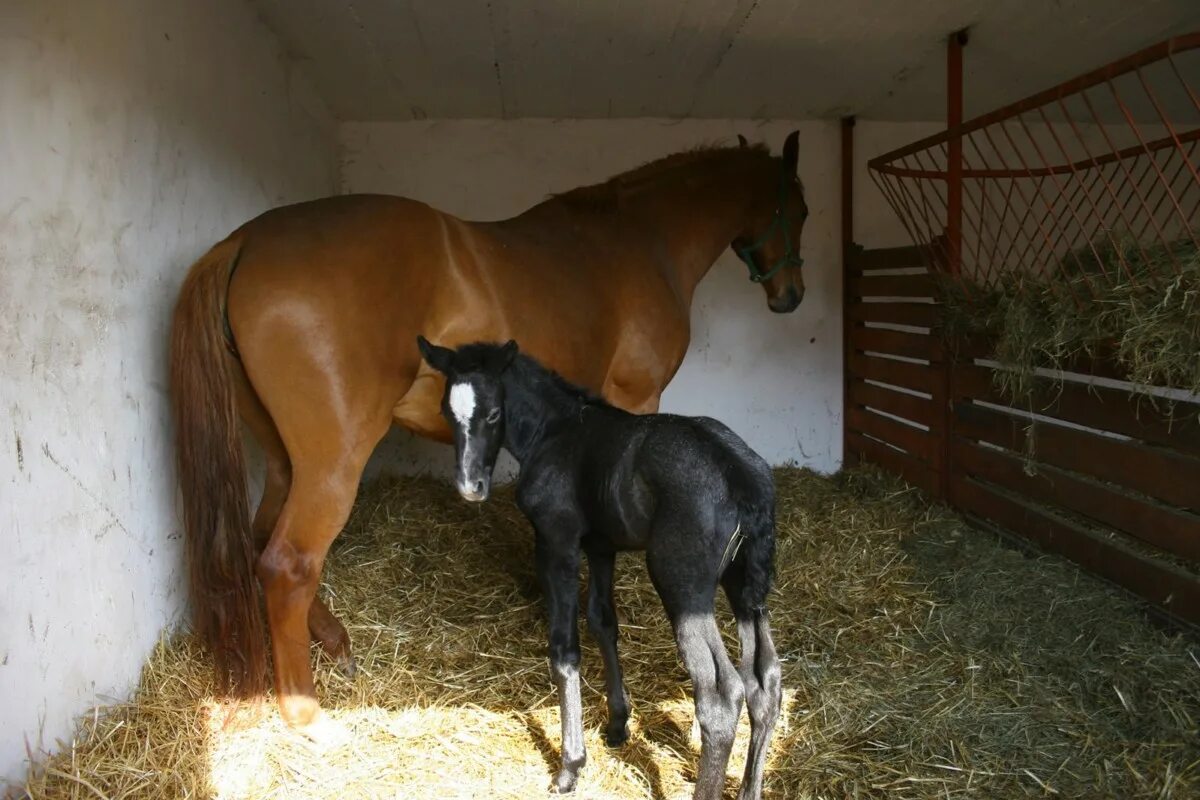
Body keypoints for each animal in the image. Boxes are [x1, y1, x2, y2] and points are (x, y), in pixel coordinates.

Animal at [169, 130, 806, 734]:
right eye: (798, 209)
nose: (791, 296)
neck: (640, 238)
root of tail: (246, 242)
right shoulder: (634, 399)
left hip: (284, 460)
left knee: (262, 537)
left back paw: (334, 641)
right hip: (332, 465)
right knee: (288, 564)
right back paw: (306, 714)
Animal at [417, 335, 782, 800]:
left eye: (494, 413)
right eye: (447, 412)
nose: (470, 487)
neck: (555, 432)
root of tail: (739, 476)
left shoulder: (557, 542)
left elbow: (564, 648)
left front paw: (570, 766)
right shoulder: (602, 548)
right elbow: (603, 623)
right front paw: (617, 724)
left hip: (683, 587)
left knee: (720, 694)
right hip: (745, 586)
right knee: (765, 682)